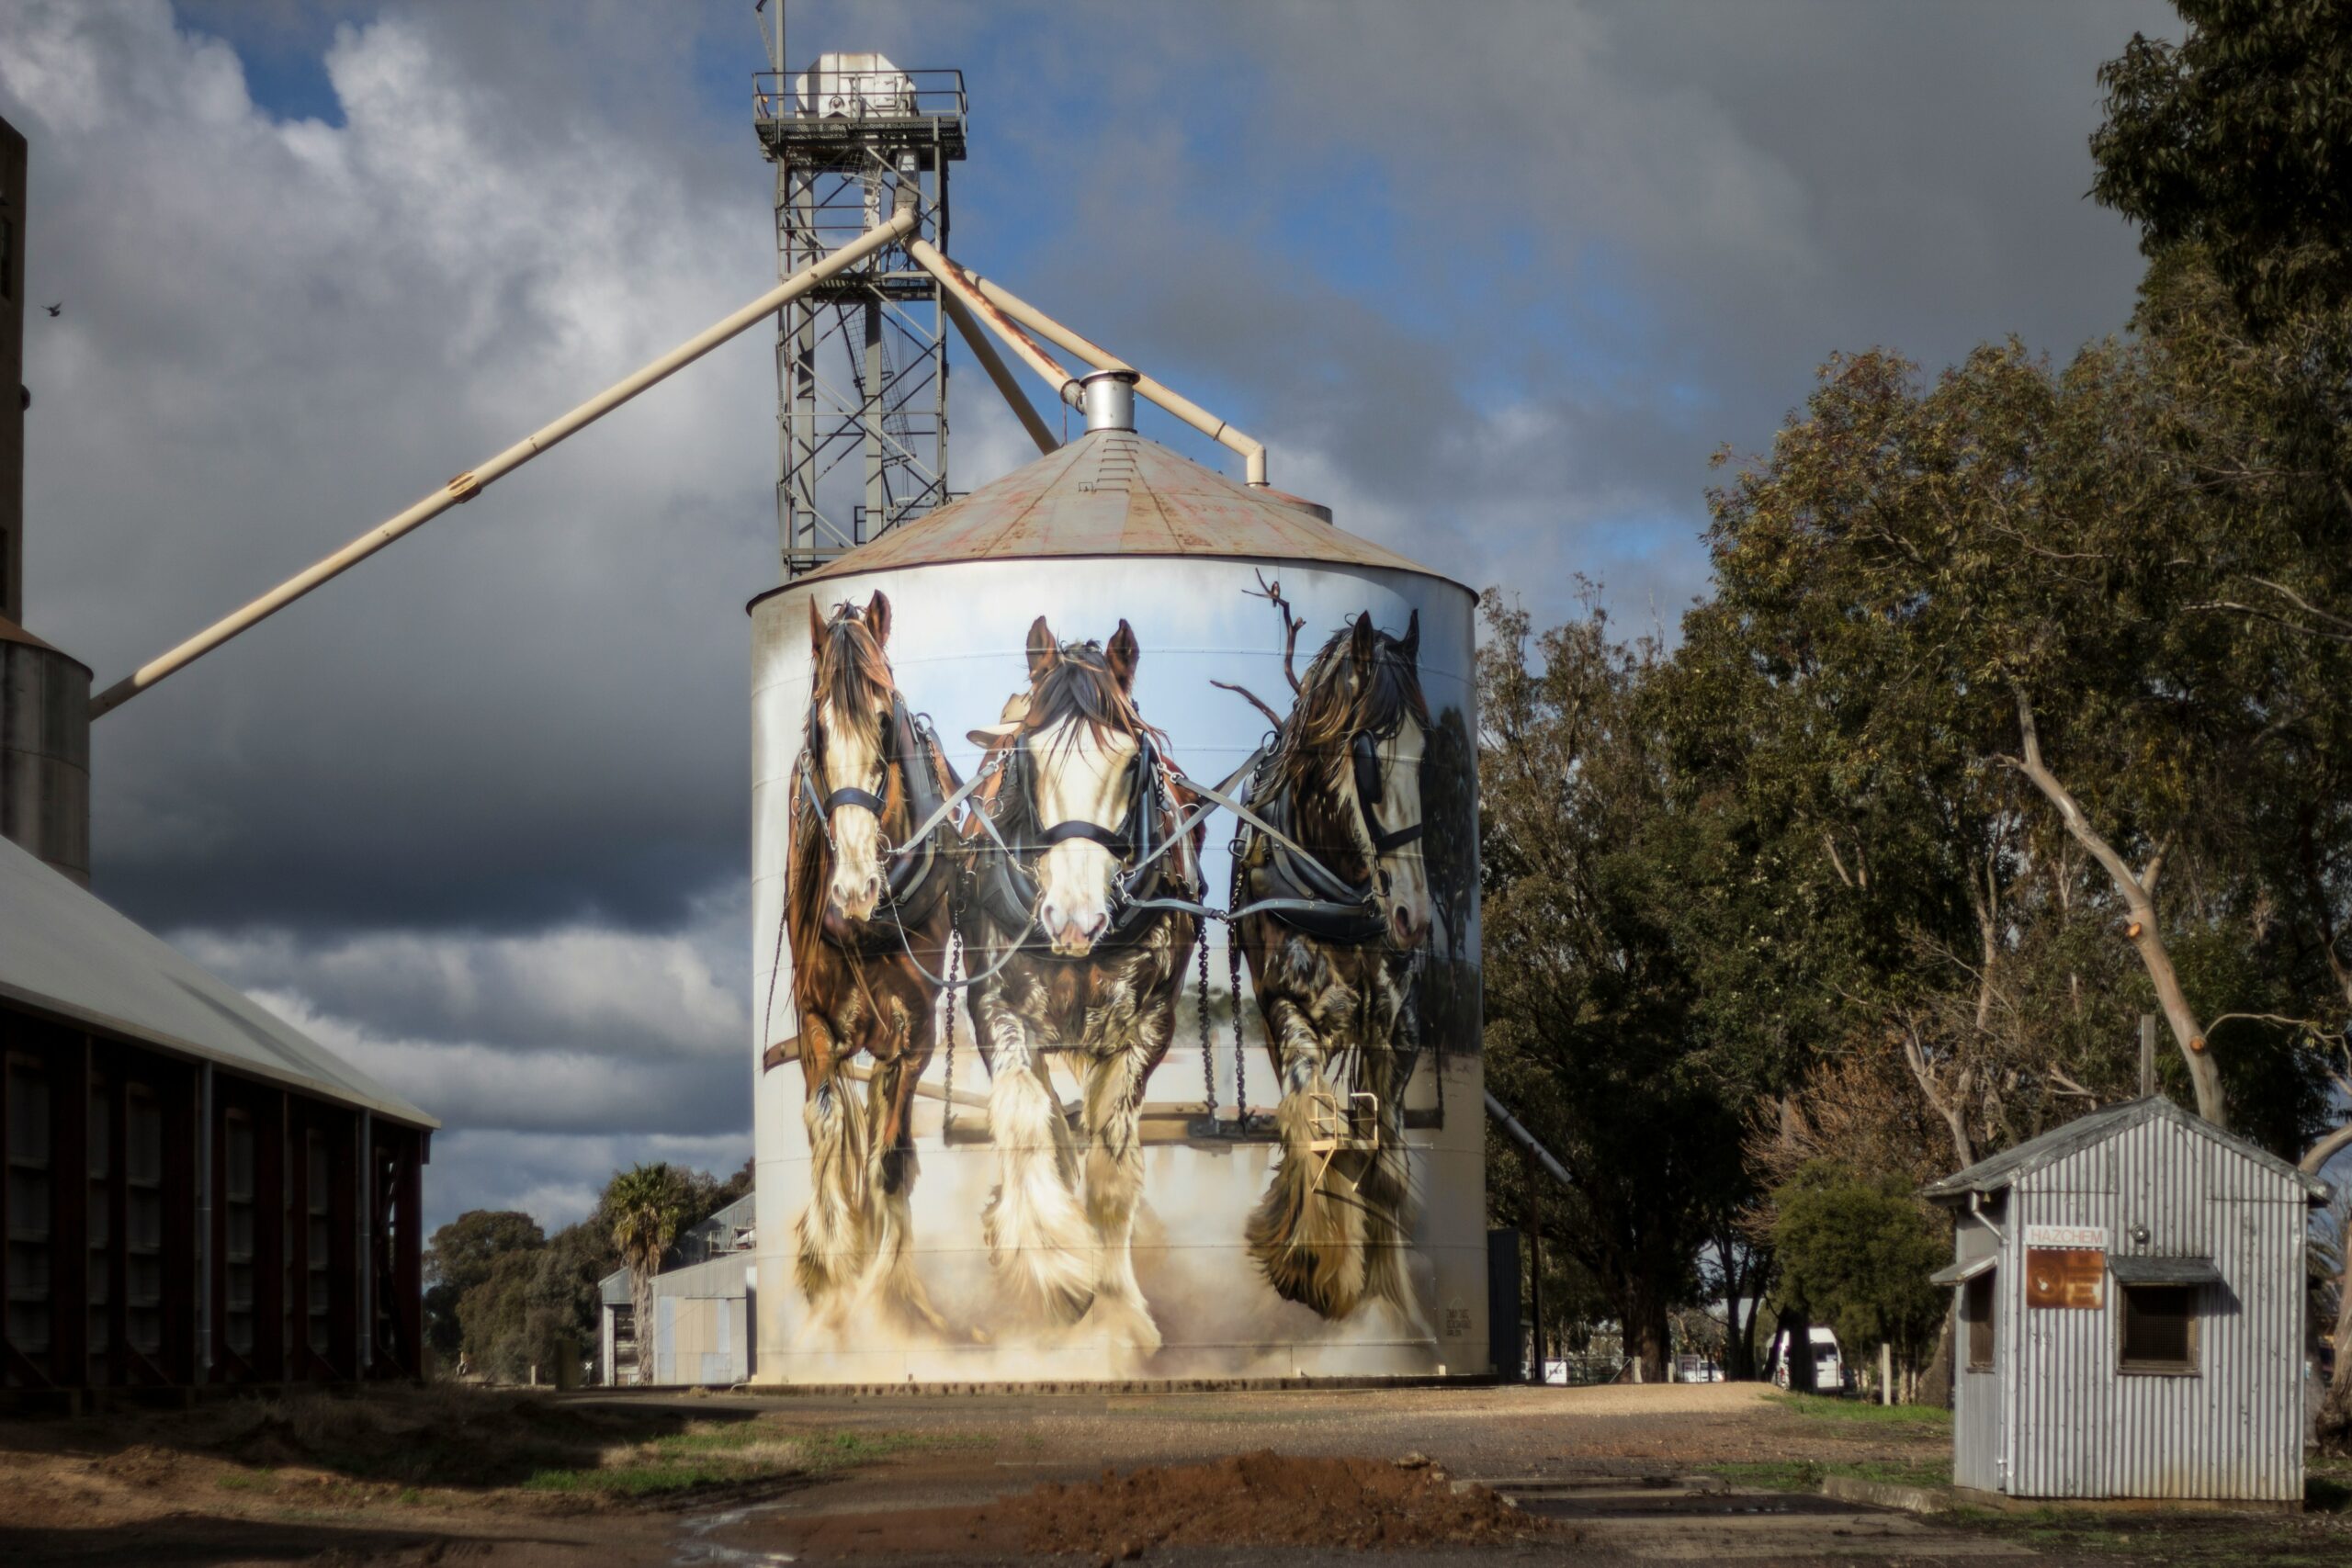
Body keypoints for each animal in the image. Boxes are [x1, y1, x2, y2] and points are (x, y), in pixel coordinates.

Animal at [964, 620, 1204, 1354]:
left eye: (1131, 761)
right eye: (1028, 756)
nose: (1075, 919)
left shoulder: (1145, 1028)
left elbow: (1113, 1170)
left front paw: (1118, 1312)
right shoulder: (996, 1011)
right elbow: (1024, 1123)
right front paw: (1056, 1266)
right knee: (1044, 1118)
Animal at [1232, 611, 1430, 1335]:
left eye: (1429, 749)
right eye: (1367, 757)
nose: (1413, 915)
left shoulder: (1397, 1023)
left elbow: (1388, 1164)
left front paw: (1396, 1298)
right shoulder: (1287, 1008)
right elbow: (1314, 1126)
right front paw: (1313, 1263)